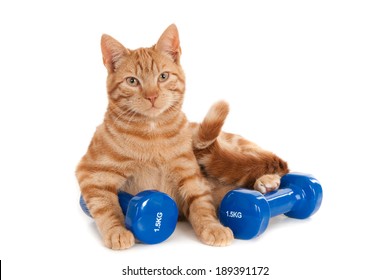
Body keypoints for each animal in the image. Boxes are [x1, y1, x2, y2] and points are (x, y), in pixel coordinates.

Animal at [77, 23, 290, 247]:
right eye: (132, 81)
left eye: (163, 76)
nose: (152, 96)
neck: (153, 134)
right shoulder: (91, 173)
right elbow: (105, 206)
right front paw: (117, 231)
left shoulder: (191, 175)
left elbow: (201, 204)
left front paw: (212, 227)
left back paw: (267, 180)